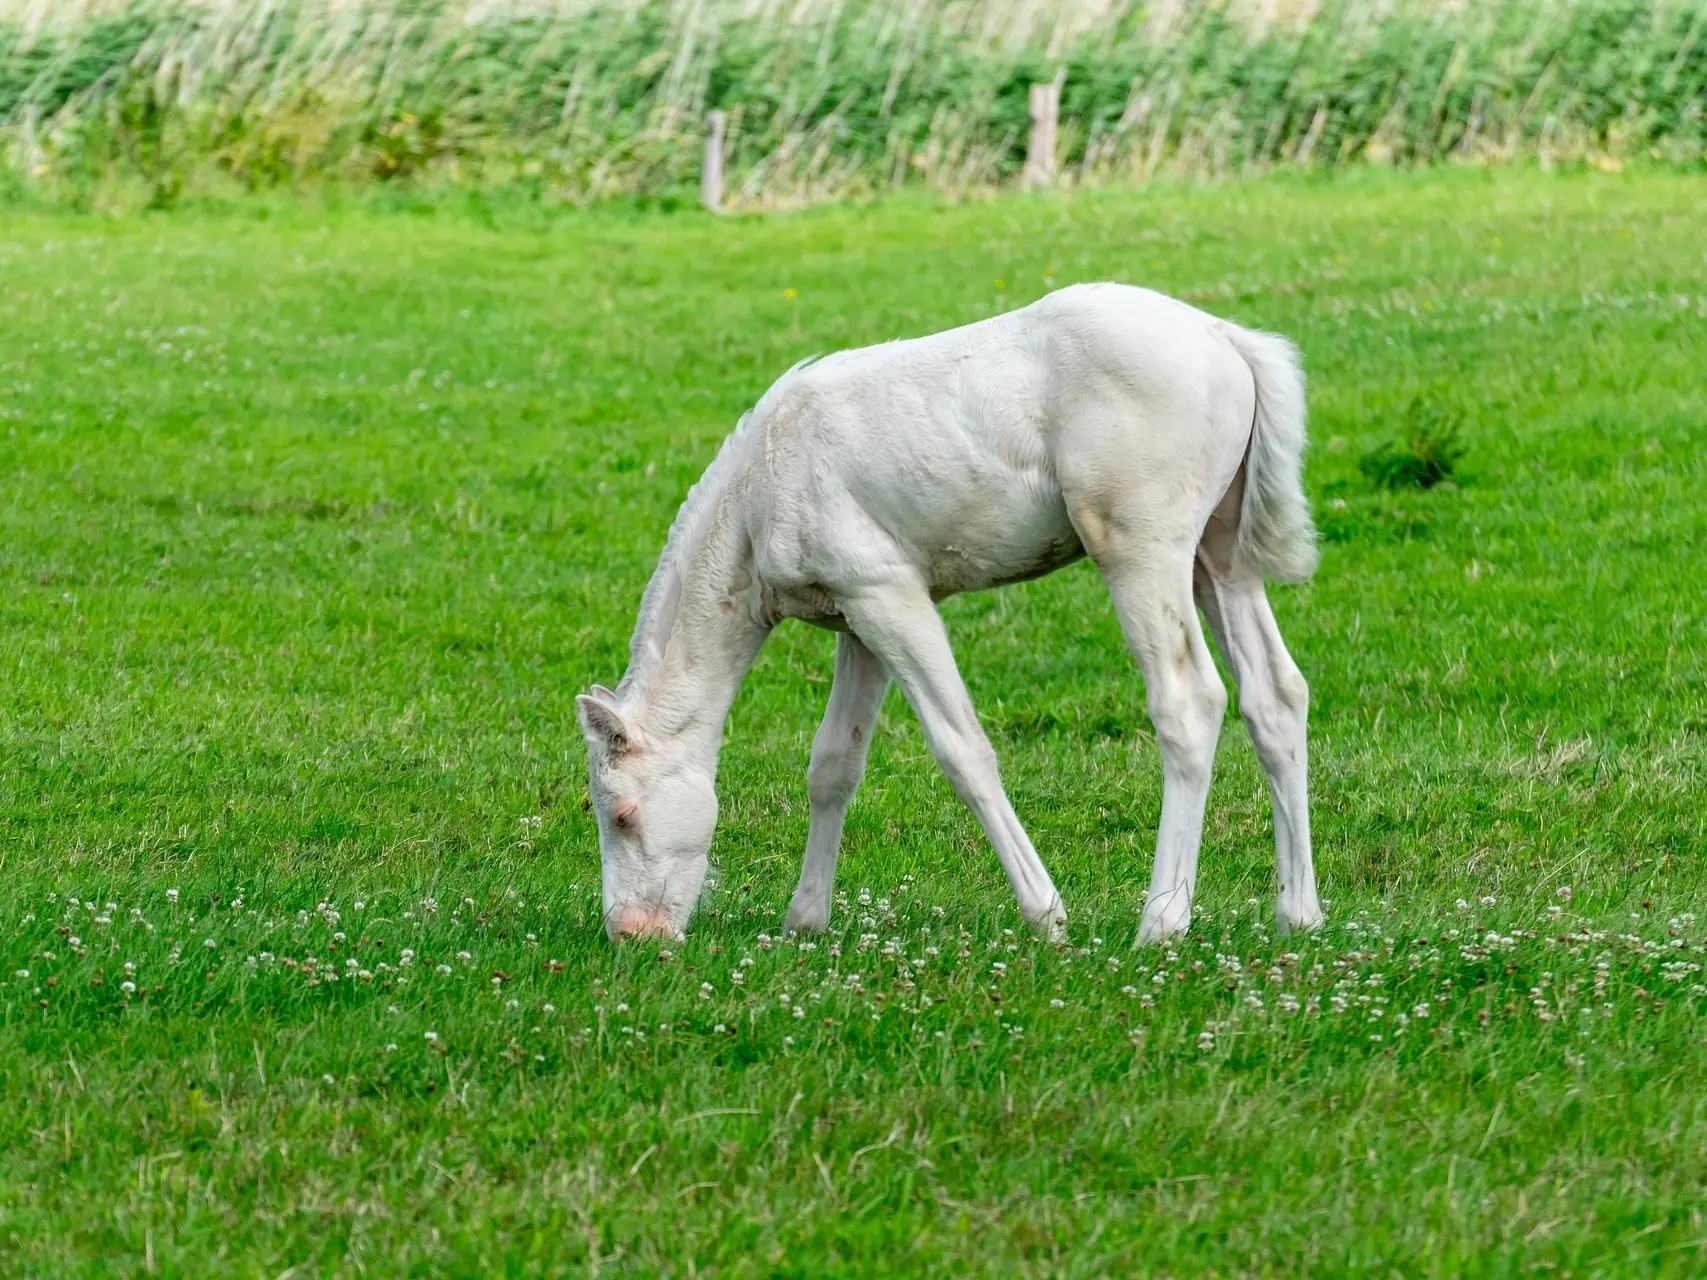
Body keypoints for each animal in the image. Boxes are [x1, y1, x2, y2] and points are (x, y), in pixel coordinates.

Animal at [573, 285, 1317, 948]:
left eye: (623, 814)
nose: (633, 934)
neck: (763, 495)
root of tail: (1226, 339)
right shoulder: (857, 620)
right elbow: (833, 764)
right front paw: (804, 920)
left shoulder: (890, 596)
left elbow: (961, 748)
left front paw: (1046, 915)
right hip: (1219, 554)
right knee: (1275, 695)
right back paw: (1299, 915)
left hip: (1140, 549)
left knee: (1188, 701)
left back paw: (1161, 923)